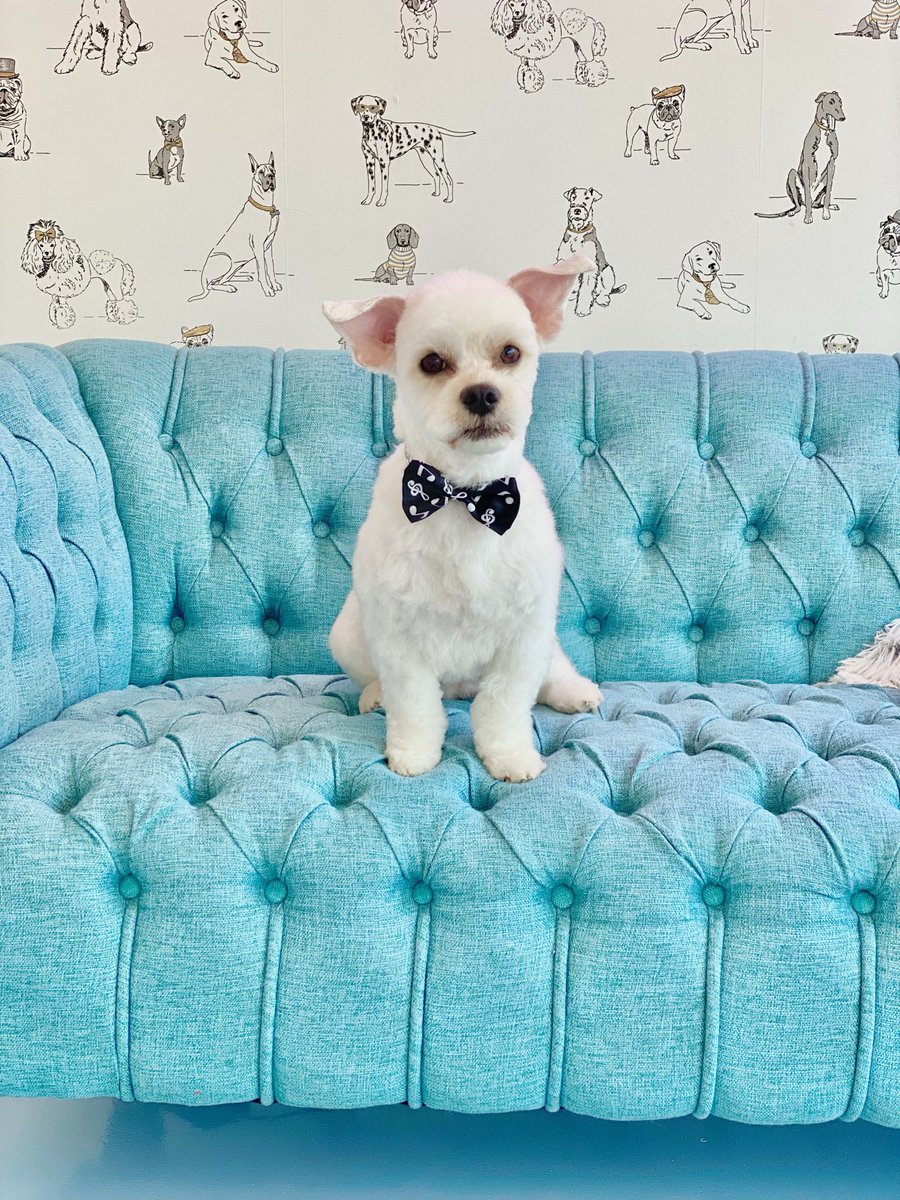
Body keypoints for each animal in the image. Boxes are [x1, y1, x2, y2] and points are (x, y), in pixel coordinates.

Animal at [189, 153, 281, 300]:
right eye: (261, 172)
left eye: (272, 170)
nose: (270, 177)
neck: (265, 207)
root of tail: (202, 278)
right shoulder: (258, 246)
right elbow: (262, 270)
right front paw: (268, 289)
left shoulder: (268, 245)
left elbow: (271, 268)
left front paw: (275, 284)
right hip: (226, 260)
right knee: (212, 284)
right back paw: (229, 287)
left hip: (237, 264)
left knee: (223, 279)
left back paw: (243, 278)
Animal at [322, 255, 603, 782]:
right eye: (432, 362)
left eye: (510, 353)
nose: (481, 394)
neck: (463, 495)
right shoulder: (398, 637)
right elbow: (413, 704)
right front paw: (413, 753)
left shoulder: (523, 633)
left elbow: (505, 705)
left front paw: (510, 755)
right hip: (347, 632)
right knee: (379, 679)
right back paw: (374, 696)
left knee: (551, 670)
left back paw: (572, 690)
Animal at [756, 91, 846, 225]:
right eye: (830, 102)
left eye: (840, 103)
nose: (843, 118)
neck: (825, 131)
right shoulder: (806, 164)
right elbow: (808, 193)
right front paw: (808, 217)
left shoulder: (831, 165)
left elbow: (828, 194)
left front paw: (826, 212)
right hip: (792, 175)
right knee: (800, 205)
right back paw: (794, 211)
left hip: (823, 183)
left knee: (818, 202)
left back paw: (830, 206)